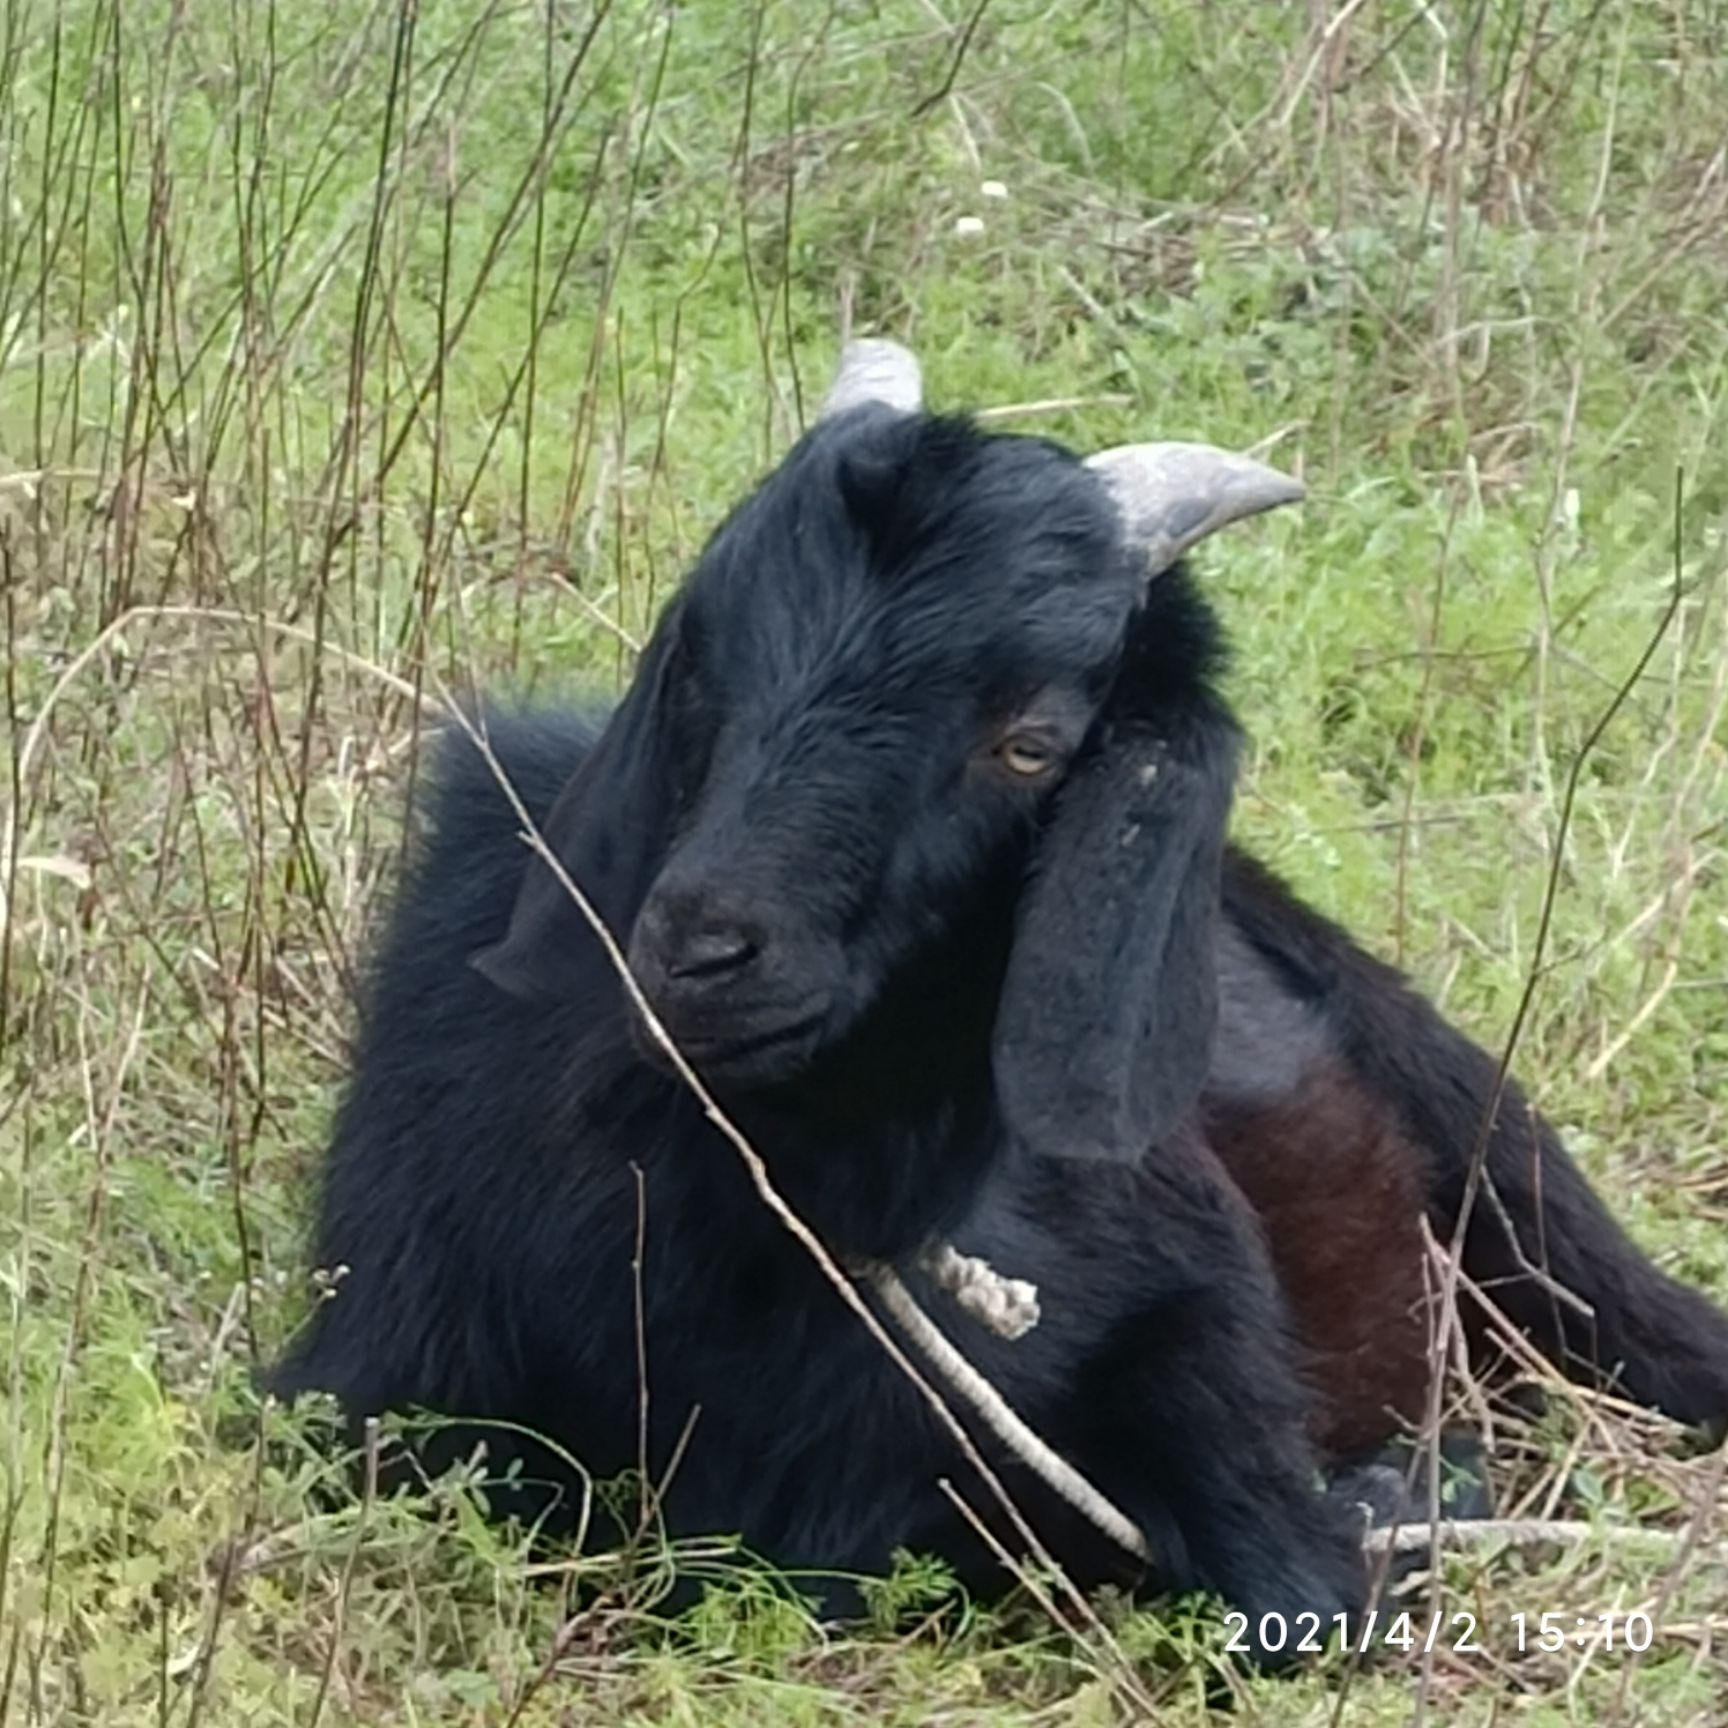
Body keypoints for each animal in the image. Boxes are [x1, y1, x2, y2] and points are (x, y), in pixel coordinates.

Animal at [276, 340, 1728, 1658]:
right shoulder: (376, 1362)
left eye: (1031, 740)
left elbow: (1301, 1588)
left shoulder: (1197, 1319)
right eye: (703, 662)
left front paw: (1396, 1500)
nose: (701, 950)